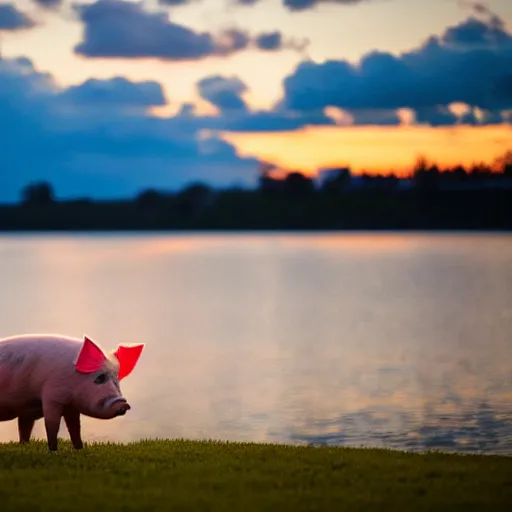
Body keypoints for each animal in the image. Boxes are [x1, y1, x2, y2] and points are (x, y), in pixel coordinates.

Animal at [0, 332, 144, 452]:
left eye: (117, 380)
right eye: (100, 378)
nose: (123, 404)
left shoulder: (71, 407)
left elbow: (75, 427)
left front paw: (80, 449)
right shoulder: (51, 397)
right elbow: (52, 425)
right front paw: (53, 451)